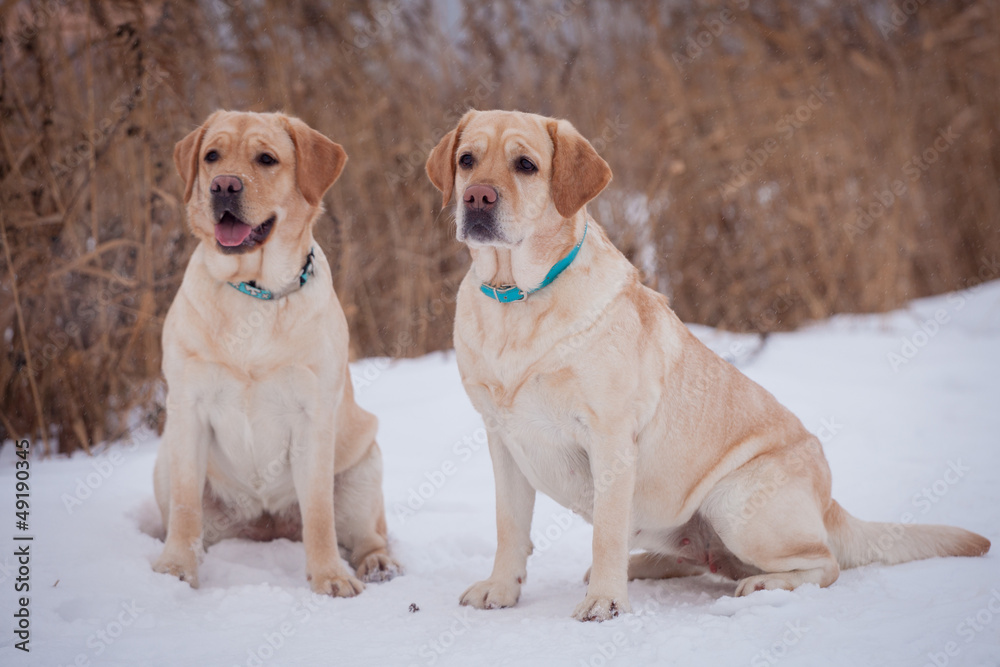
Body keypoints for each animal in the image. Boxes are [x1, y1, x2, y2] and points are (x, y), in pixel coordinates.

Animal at [151, 109, 398, 596]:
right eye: (211, 156)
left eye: (266, 159)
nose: (223, 186)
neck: (254, 290)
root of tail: (265, 527)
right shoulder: (188, 408)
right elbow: (186, 507)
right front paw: (175, 570)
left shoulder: (312, 415)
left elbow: (318, 513)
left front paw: (329, 577)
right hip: (162, 463)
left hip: (364, 467)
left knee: (367, 534)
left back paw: (376, 564)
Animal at [422, 107, 984, 624]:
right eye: (467, 160)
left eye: (526, 165)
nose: (477, 198)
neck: (516, 299)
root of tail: (829, 502)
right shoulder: (503, 439)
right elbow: (510, 526)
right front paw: (501, 589)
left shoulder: (610, 438)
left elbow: (605, 533)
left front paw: (606, 602)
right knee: (702, 560)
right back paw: (645, 565)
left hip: (737, 505)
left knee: (823, 564)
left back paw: (759, 585)